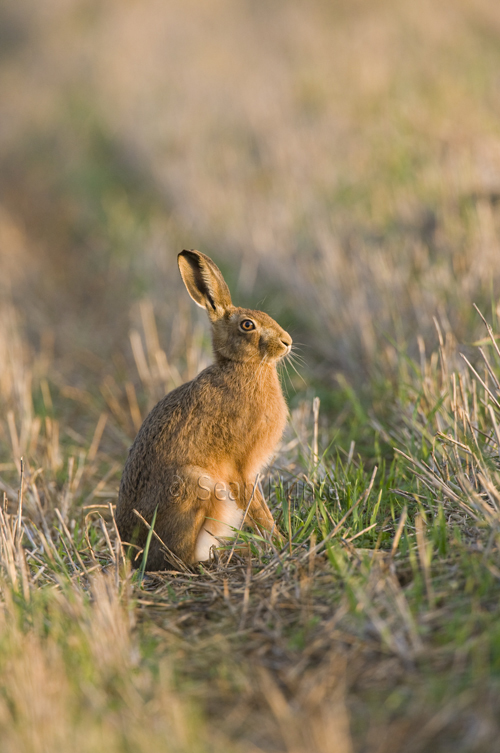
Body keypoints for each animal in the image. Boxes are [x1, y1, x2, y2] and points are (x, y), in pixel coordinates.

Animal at [116, 249, 292, 570]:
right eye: (247, 325)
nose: (287, 342)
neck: (241, 367)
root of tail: (133, 554)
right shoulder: (242, 468)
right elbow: (256, 508)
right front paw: (280, 543)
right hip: (195, 485)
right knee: (180, 558)